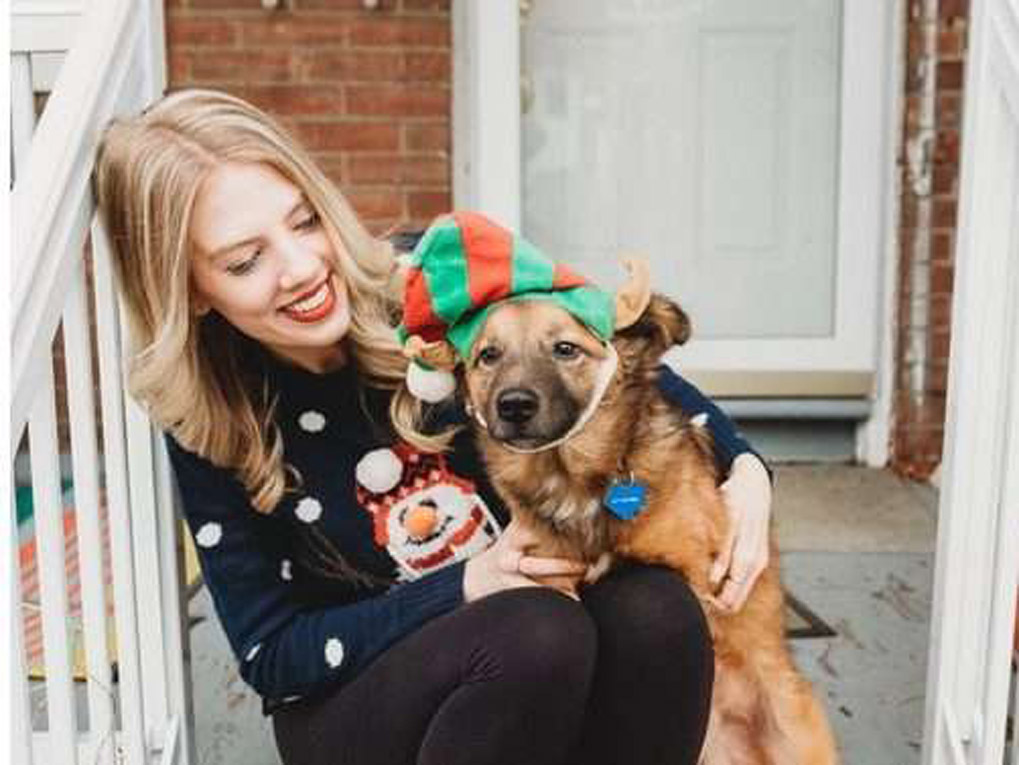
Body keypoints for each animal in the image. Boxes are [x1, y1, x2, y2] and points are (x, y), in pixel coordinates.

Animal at [403, 260, 835, 761]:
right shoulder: (552, 583)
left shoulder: (697, 577)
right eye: (488, 355)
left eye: (565, 349)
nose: (513, 406)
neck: (578, 481)